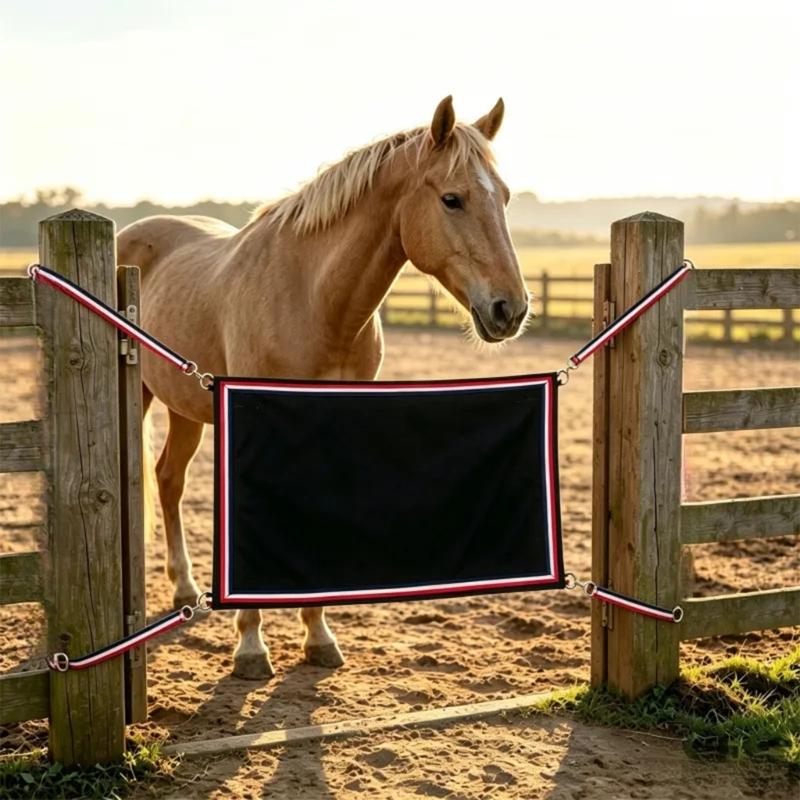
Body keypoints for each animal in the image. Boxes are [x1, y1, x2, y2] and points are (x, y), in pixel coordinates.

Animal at [117, 95, 530, 679]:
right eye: (452, 199)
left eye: (506, 197)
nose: (509, 309)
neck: (313, 300)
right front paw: (251, 646)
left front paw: (318, 636)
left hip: (184, 407)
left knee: (169, 480)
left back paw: (184, 589)